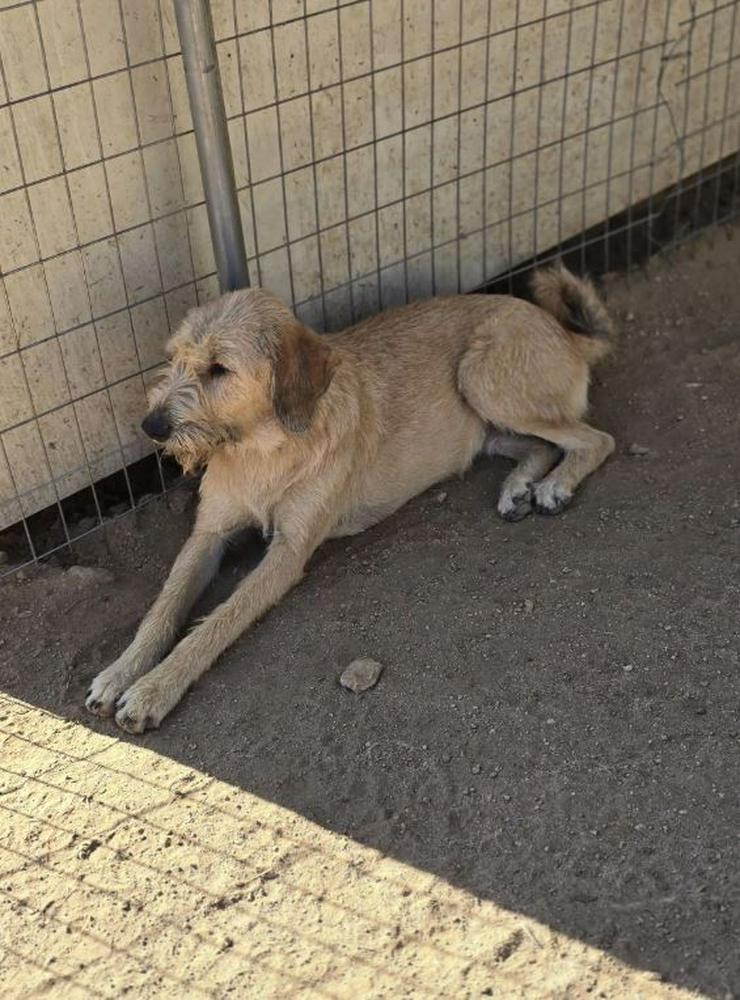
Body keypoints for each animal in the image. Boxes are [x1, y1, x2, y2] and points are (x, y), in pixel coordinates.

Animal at [86, 266, 616, 736]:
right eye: (174, 357)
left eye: (219, 368)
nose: (151, 426)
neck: (263, 449)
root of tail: (567, 335)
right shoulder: (208, 534)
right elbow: (163, 608)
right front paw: (120, 672)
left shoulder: (287, 553)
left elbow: (218, 622)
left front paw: (153, 689)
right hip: (486, 426)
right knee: (542, 446)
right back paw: (517, 487)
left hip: (482, 378)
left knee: (595, 439)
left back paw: (555, 486)